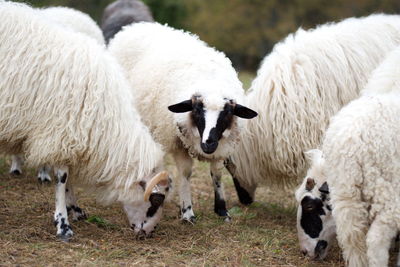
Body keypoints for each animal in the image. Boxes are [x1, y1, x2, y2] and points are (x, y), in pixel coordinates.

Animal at [108, 22, 258, 223]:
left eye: (227, 113)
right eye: (196, 110)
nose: (208, 143)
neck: (210, 81)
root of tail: (135, 26)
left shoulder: (221, 147)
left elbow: (217, 173)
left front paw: (222, 209)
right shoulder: (178, 142)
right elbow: (186, 174)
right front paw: (187, 211)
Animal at [296, 46, 400, 267]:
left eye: (309, 205)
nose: (305, 252)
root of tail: (354, 140)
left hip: (347, 195)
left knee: (352, 238)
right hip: (387, 191)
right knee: (375, 241)